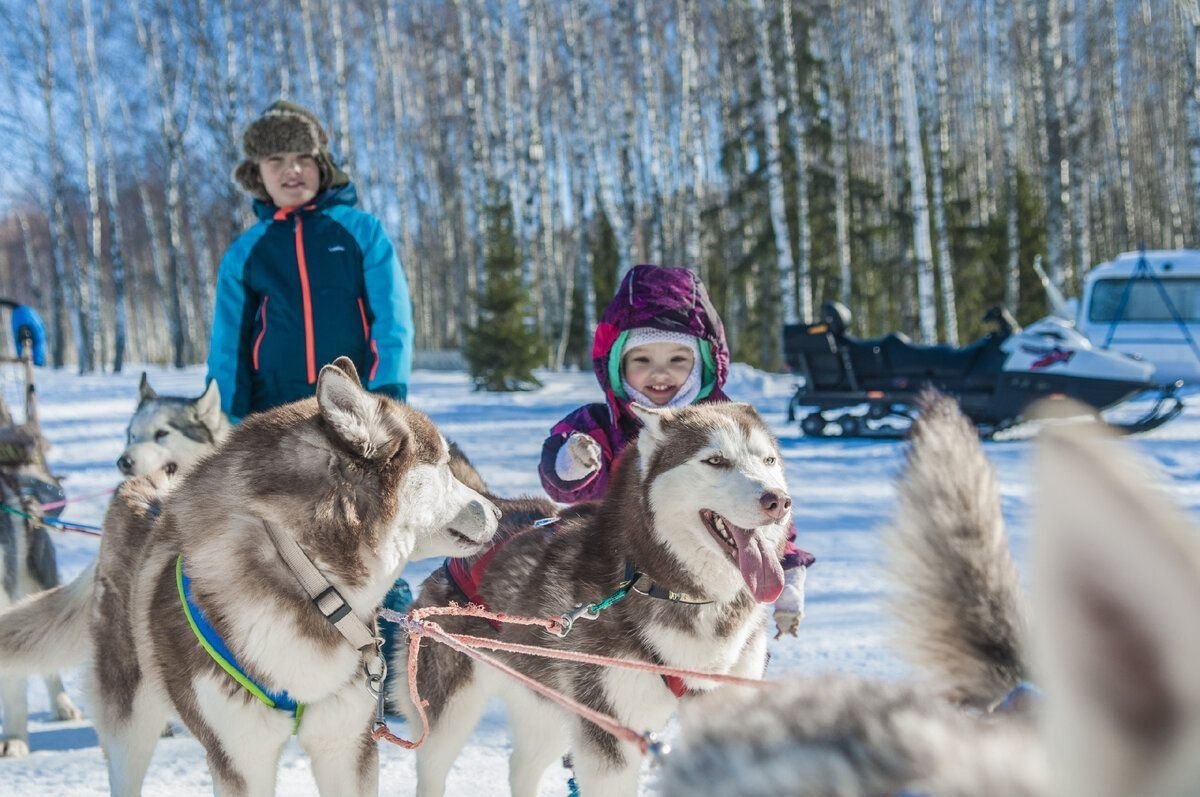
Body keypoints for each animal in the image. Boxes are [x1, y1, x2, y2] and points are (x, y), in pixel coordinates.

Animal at [0, 357, 499, 792]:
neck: (307, 575)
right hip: (129, 726)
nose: (496, 510)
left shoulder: (346, 748)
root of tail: (135, 490)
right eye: (442, 466)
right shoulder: (239, 758)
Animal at [393, 400, 792, 797]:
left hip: (549, 705)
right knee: (433, 769)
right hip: (449, 712)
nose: (779, 501)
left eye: (768, 460)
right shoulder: (610, 735)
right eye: (715, 460)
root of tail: (497, 506)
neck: (674, 590)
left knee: (521, 767)